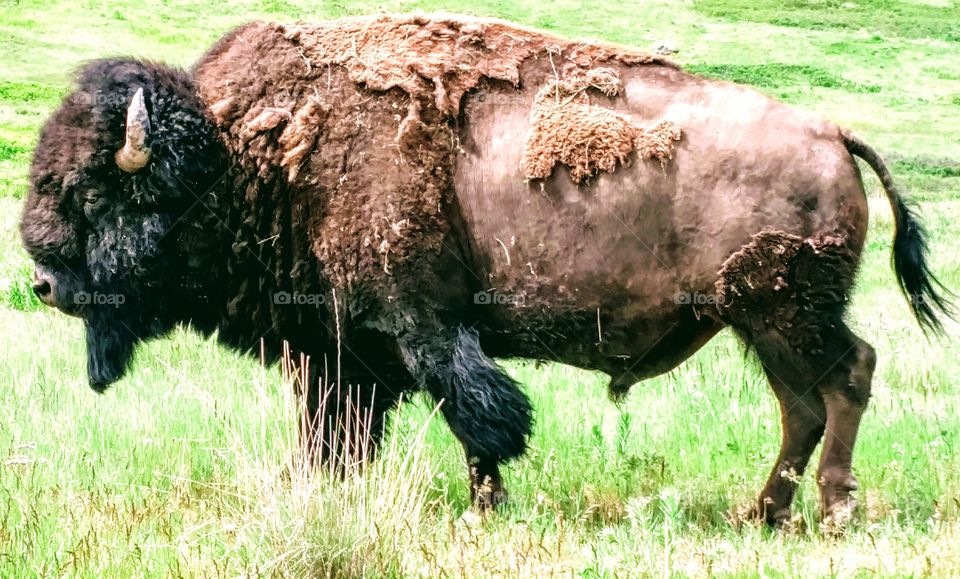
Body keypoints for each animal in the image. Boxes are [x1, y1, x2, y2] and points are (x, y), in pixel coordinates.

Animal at [20, 15, 952, 527]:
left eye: (90, 189)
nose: (42, 282)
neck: (242, 153)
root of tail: (833, 132)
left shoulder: (423, 327)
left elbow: (477, 416)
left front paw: (483, 506)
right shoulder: (343, 354)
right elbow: (347, 435)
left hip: (785, 311)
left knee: (847, 378)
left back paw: (831, 510)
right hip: (759, 322)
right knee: (803, 403)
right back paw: (764, 512)